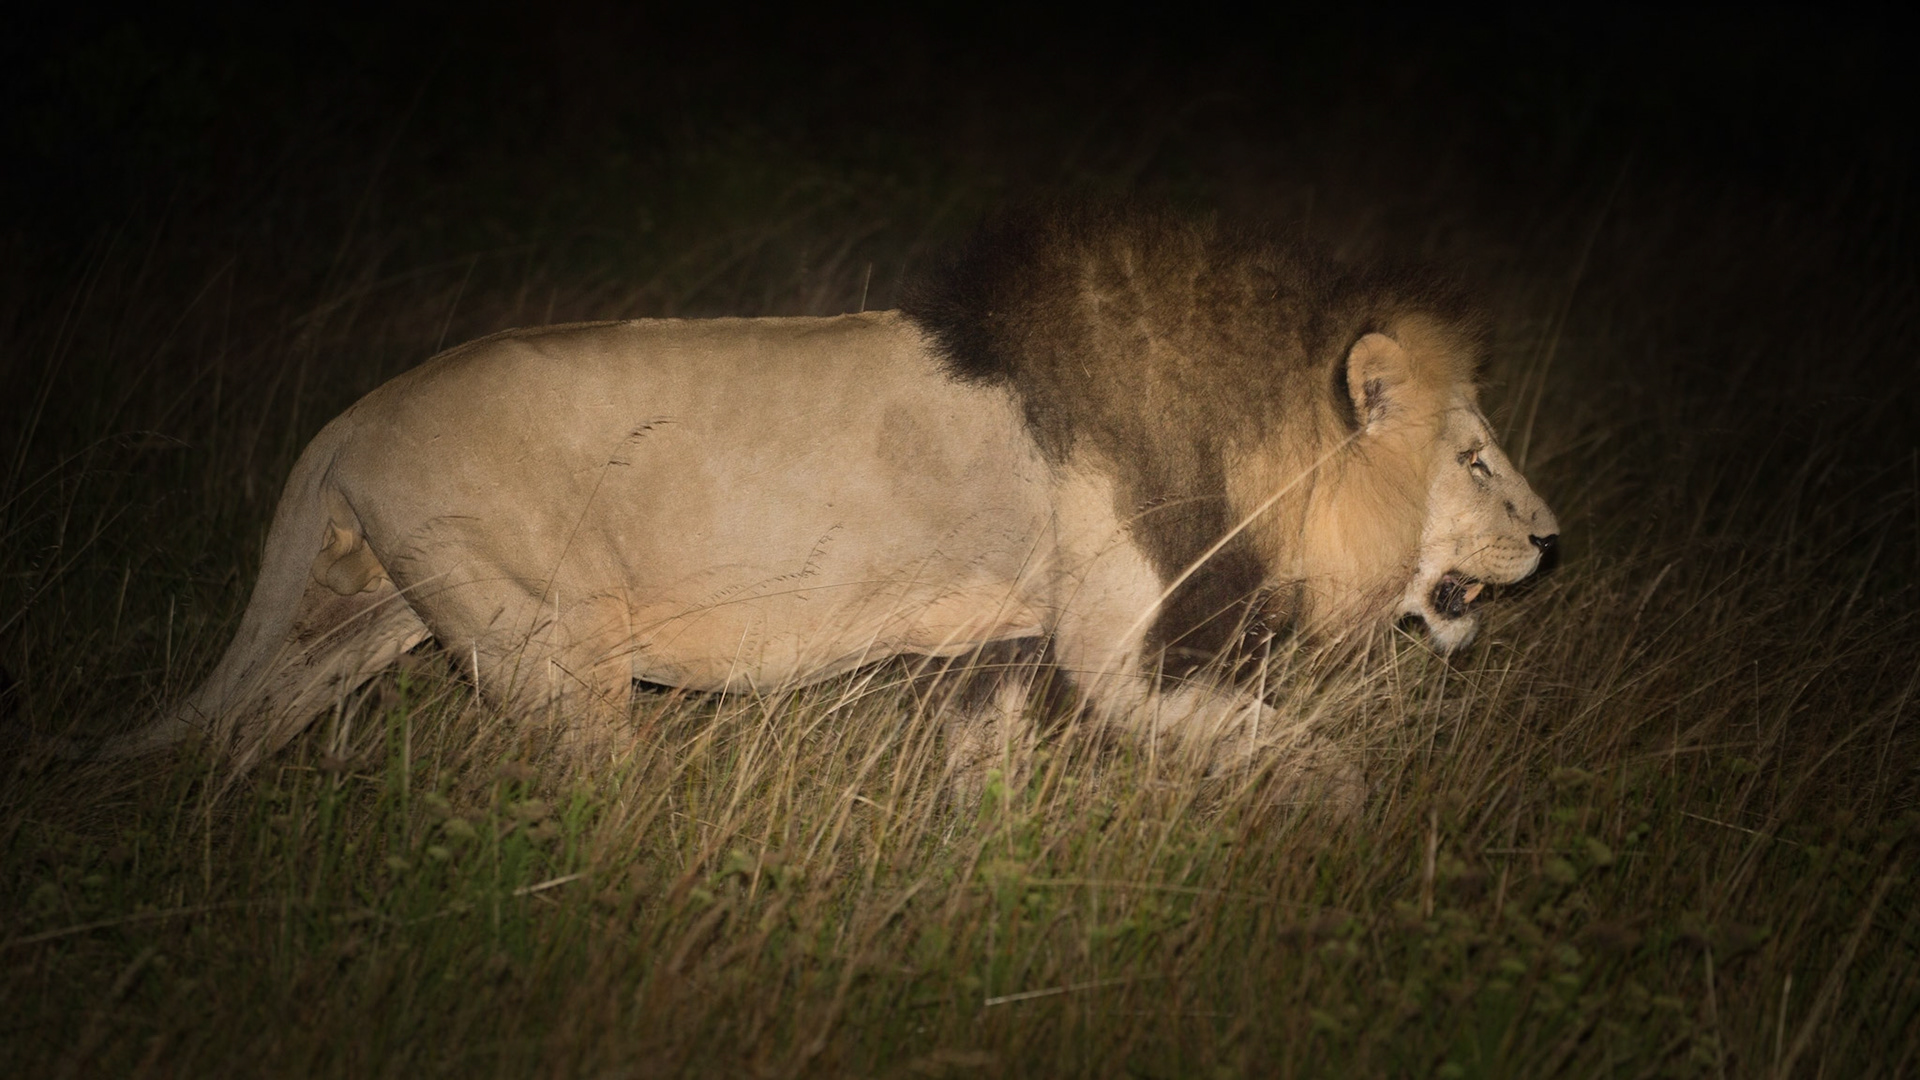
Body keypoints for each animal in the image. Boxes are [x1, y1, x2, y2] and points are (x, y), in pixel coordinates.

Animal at [115, 206, 1557, 805]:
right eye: (1477, 460)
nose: (1552, 539)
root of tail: (349, 420)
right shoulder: (1122, 657)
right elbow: (1316, 764)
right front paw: (1348, 842)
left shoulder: (1003, 649)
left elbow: (980, 788)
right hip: (552, 654)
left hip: (355, 620)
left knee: (235, 734)